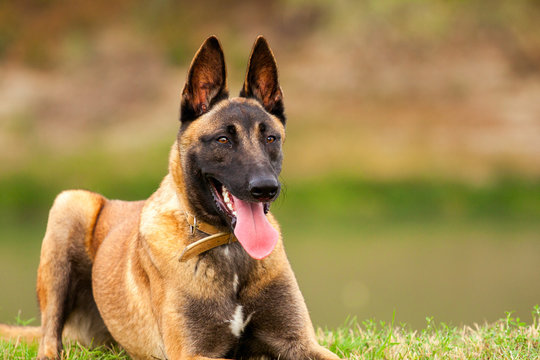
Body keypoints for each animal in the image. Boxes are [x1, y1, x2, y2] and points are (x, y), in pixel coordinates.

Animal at [0, 36, 342, 360]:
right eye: (223, 140)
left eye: (271, 138)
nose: (265, 188)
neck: (228, 248)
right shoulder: (191, 352)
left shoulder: (299, 342)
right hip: (70, 206)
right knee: (49, 336)